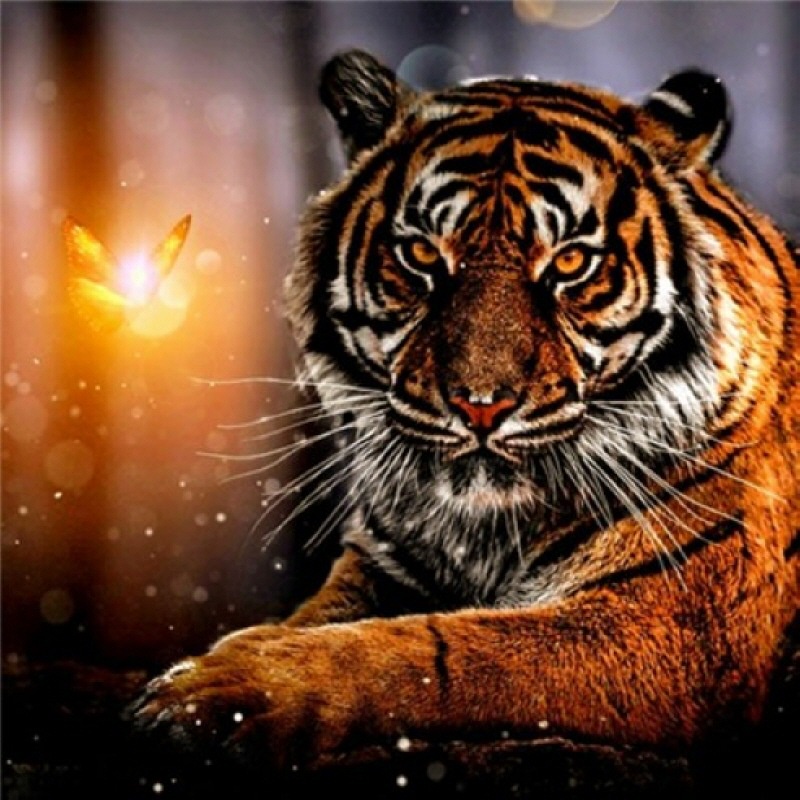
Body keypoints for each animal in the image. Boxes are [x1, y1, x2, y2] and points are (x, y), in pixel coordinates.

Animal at [130, 49, 800, 777]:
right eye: (422, 254)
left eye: (571, 261)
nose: (481, 406)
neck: (482, 530)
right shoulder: (382, 563)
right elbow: (318, 618)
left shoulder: (679, 627)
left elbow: (441, 649)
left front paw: (226, 689)